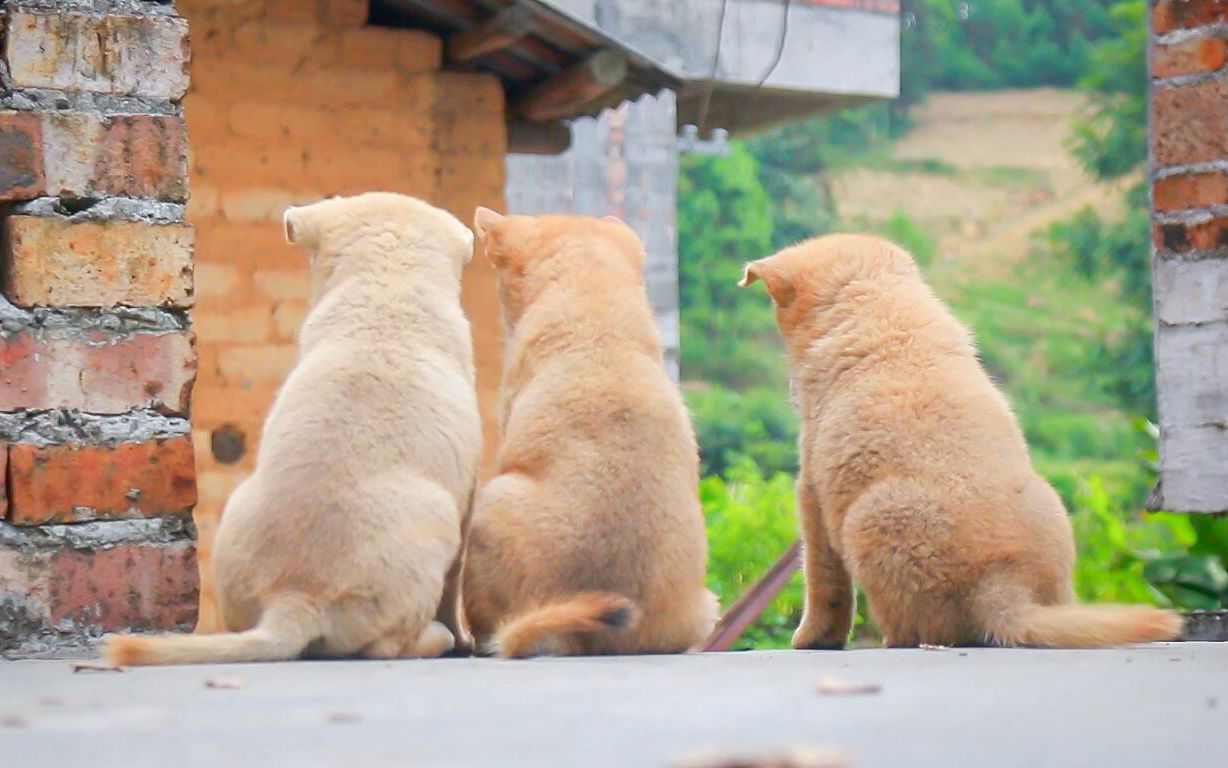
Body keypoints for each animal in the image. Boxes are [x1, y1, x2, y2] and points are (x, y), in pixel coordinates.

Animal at [105, 192, 481, 663]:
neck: (386, 285)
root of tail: (296, 596)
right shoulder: (466, 500)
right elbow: (455, 584)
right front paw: (465, 639)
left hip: (237, 518)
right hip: (436, 521)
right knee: (388, 645)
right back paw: (438, 638)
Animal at [741, 233, 1183, 648]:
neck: (881, 311)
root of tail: (1004, 586)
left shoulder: (811, 487)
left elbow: (823, 580)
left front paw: (811, 638)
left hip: (866, 520)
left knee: (912, 627)